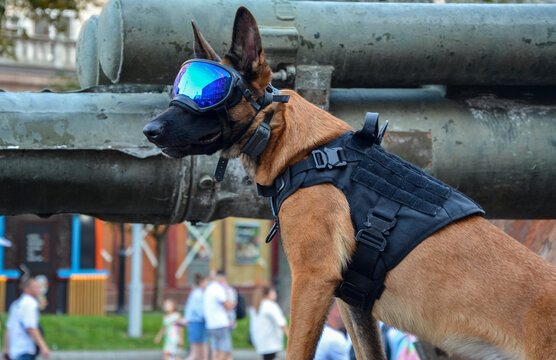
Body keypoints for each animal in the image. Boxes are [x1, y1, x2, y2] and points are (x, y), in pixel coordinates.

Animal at [144, 6, 556, 360]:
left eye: (208, 93)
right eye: (180, 87)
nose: (149, 130)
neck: (306, 149)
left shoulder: (312, 280)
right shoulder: (352, 304)